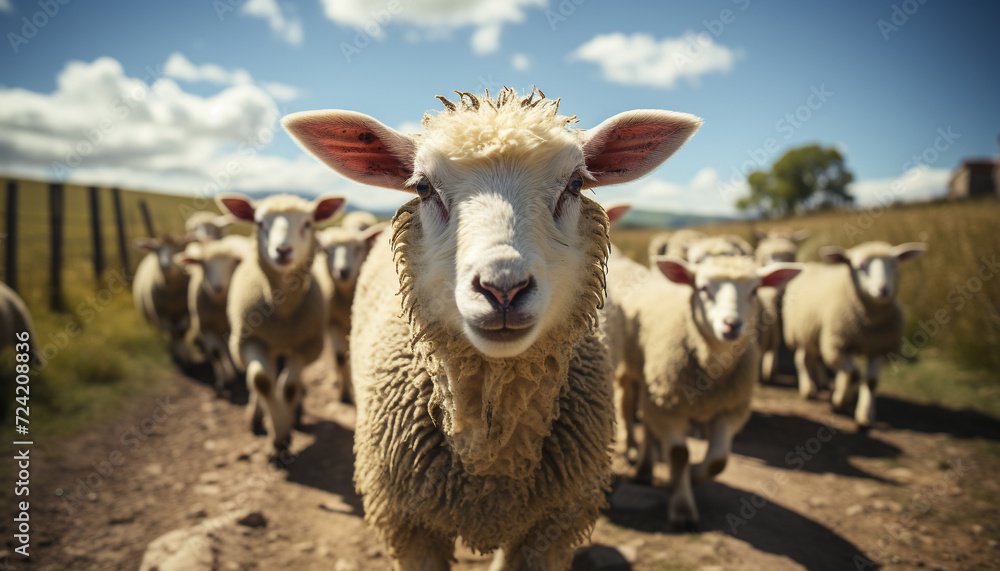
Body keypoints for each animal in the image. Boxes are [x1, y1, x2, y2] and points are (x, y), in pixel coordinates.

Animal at [175, 235, 250, 392]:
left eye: (231, 263)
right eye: (204, 265)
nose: (217, 287)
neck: (220, 306)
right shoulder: (206, 326)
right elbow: (216, 353)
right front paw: (226, 381)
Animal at [216, 193, 345, 457]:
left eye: (308, 223)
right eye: (259, 223)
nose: (283, 250)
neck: (283, 309)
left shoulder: (307, 347)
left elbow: (289, 386)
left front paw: (284, 435)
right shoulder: (248, 341)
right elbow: (262, 381)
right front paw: (277, 438)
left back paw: (295, 413)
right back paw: (256, 416)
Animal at [313, 220, 388, 403]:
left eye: (358, 248)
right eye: (326, 250)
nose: (343, 271)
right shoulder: (332, 322)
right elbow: (340, 357)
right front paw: (344, 394)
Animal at [612, 253, 801, 529]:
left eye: (754, 291)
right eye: (702, 288)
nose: (732, 324)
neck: (711, 365)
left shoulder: (729, 409)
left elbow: (717, 461)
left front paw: (692, 475)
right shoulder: (668, 406)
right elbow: (679, 454)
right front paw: (682, 509)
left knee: (649, 427)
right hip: (639, 380)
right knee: (634, 414)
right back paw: (643, 468)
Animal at [783, 241, 926, 429]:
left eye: (894, 264)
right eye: (859, 267)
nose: (883, 290)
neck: (870, 321)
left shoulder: (879, 348)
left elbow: (870, 381)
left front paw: (865, 416)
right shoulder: (837, 344)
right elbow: (853, 375)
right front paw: (841, 402)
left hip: (813, 334)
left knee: (813, 359)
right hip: (801, 333)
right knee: (802, 360)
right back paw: (808, 389)